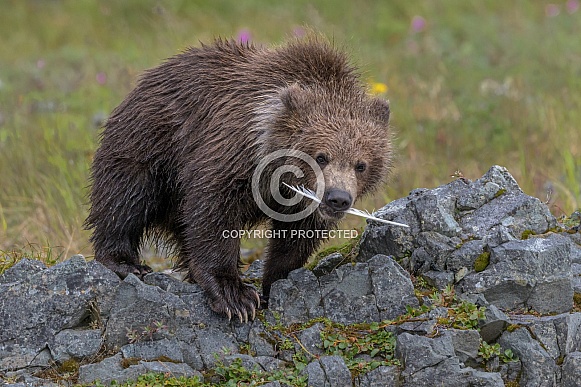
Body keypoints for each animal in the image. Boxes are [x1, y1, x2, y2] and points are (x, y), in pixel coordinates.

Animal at [85, 36, 394, 322]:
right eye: (321, 156)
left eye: (361, 164)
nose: (338, 198)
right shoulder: (229, 151)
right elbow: (213, 212)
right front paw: (234, 295)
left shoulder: (301, 204)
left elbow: (294, 238)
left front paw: (273, 284)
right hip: (149, 144)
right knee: (127, 196)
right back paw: (125, 261)